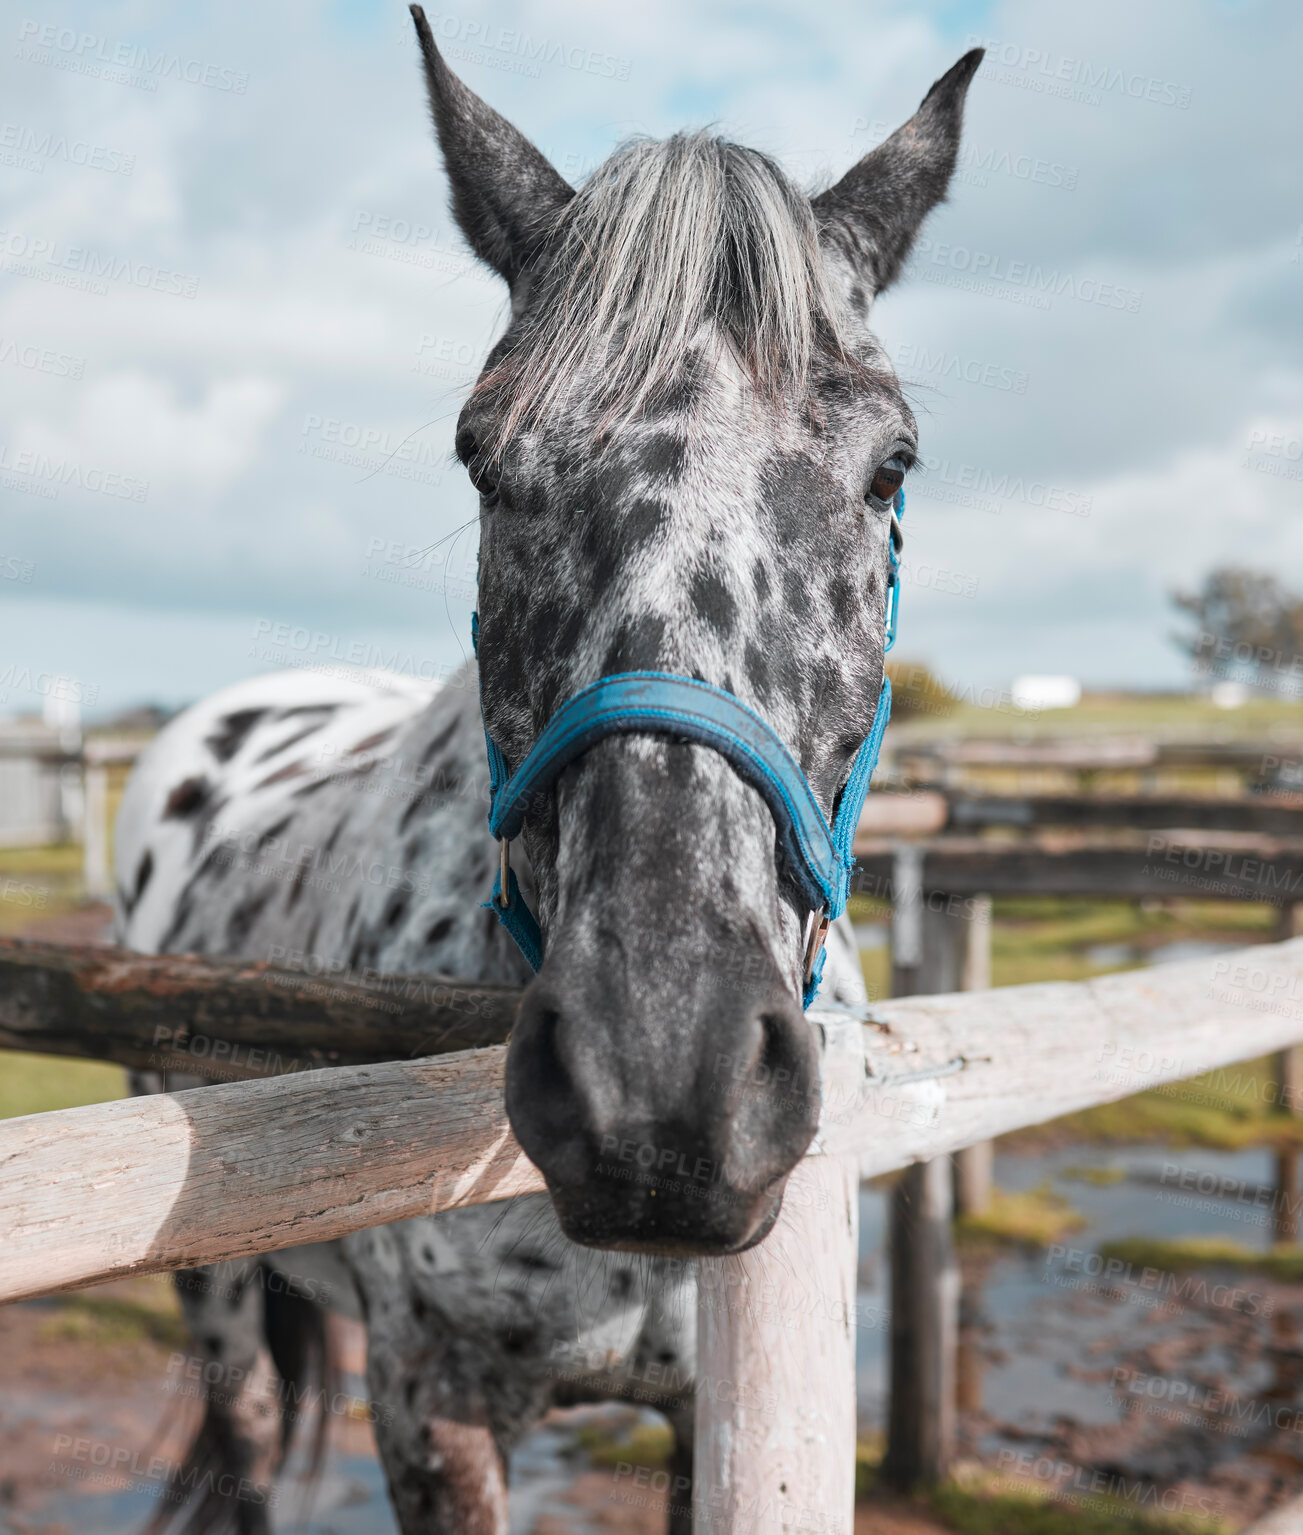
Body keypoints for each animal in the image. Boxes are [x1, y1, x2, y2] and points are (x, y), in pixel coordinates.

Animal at [116, 9, 982, 1522]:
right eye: (480, 452)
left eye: (891, 465)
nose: (660, 1088)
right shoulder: (432, 1407)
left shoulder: (715, 1413)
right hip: (218, 1295)